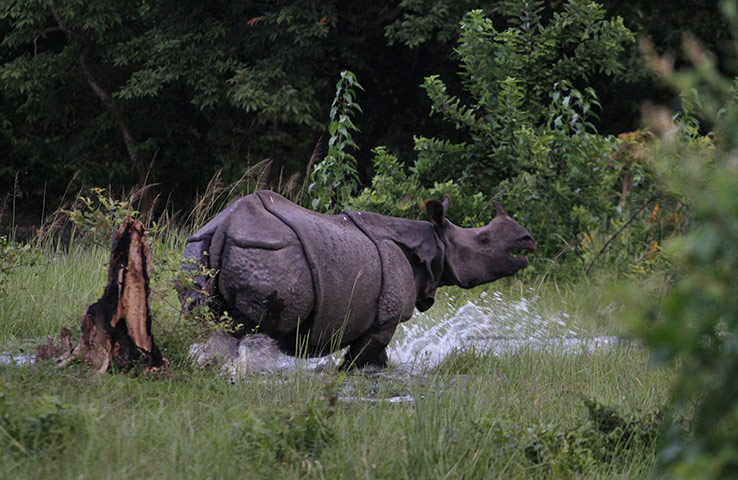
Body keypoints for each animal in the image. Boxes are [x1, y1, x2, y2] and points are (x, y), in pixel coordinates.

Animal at [181, 190, 535, 369]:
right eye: (483, 240)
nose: (528, 240)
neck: (434, 244)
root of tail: (226, 226)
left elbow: (376, 361)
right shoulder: (385, 318)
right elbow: (359, 359)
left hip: (198, 244)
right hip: (267, 251)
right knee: (252, 328)